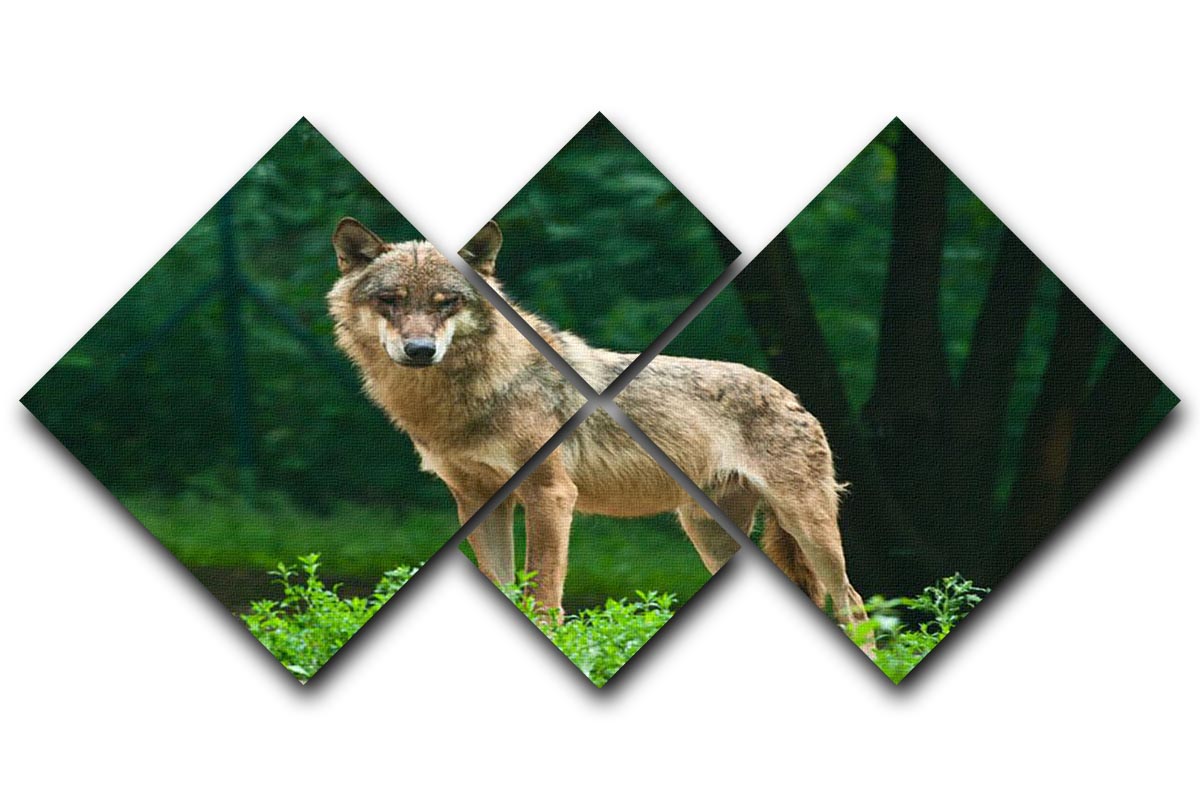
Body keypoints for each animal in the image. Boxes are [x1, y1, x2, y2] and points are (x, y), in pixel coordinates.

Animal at [327, 218, 867, 629]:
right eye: (391, 300)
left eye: (447, 302)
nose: (420, 350)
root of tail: (790, 394)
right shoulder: (476, 501)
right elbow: (505, 584)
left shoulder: (550, 494)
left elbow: (543, 591)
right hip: (710, 533)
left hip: (808, 527)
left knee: (854, 604)